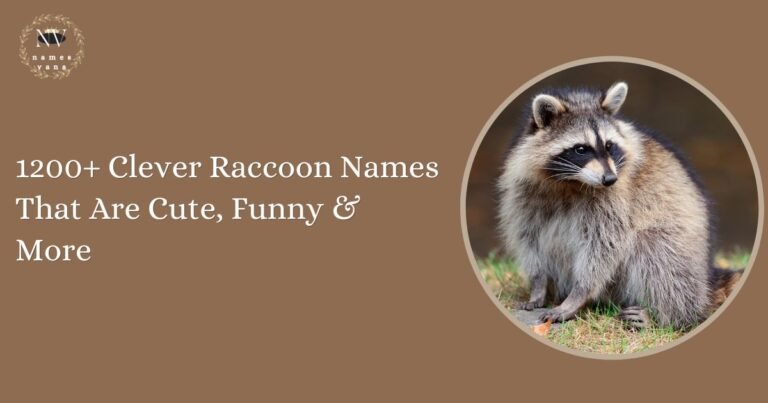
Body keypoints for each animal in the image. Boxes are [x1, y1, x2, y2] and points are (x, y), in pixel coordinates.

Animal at [498, 82, 740, 329]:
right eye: (581, 149)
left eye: (609, 145)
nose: (609, 179)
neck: (570, 182)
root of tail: (705, 279)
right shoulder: (524, 194)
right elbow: (529, 239)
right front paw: (538, 286)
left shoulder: (615, 200)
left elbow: (603, 246)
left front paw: (578, 295)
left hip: (683, 251)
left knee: (657, 253)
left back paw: (667, 316)